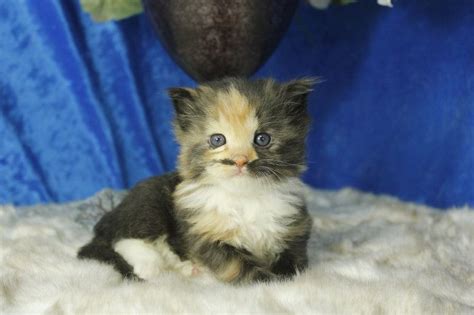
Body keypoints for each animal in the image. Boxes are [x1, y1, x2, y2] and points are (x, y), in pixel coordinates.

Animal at [78, 78, 314, 286]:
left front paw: (284, 276)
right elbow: (238, 266)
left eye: (262, 139)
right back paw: (150, 266)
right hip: (148, 204)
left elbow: (295, 263)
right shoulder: (203, 235)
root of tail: (111, 215)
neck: (245, 197)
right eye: (217, 140)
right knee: (122, 239)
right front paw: (266, 280)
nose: (239, 161)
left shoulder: (295, 227)